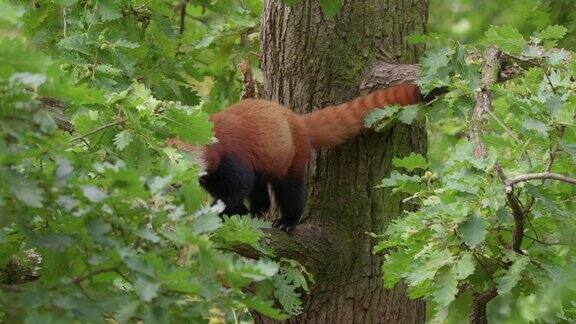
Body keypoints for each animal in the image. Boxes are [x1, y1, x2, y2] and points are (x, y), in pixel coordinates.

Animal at [169, 83, 444, 230]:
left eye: (175, 160)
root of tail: (297, 121)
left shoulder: (230, 158)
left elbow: (236, 189)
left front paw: (222, 213)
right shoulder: (212, 176)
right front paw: (236, 212)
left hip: (293, 157)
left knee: (289, 190)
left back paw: (287, 221)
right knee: (260, 187)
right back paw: (259, 209)